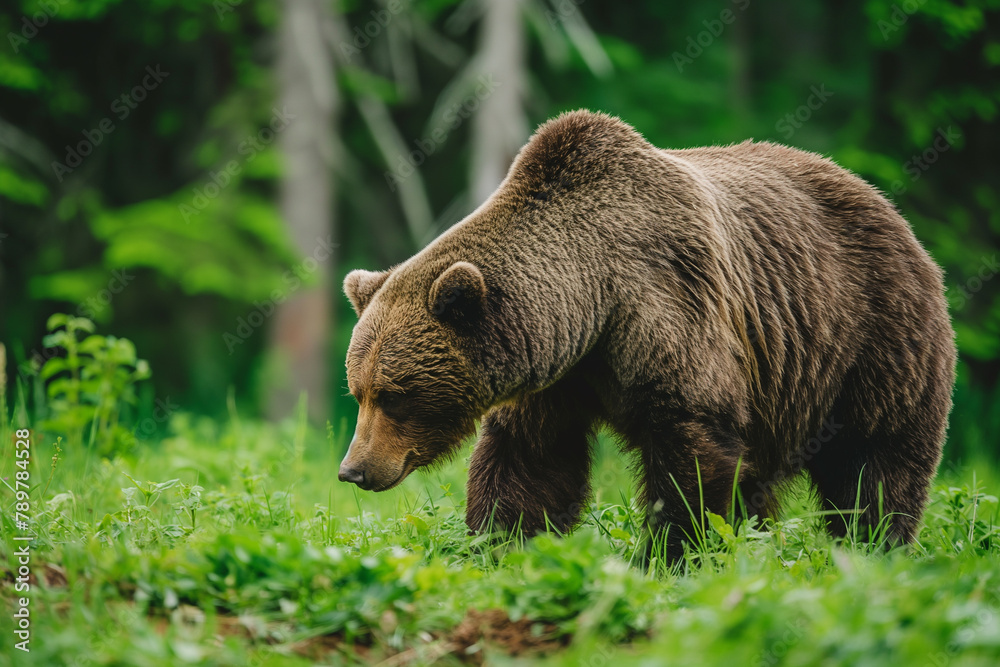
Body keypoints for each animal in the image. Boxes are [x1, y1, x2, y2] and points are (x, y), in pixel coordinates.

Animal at [339, 109, 956, 561]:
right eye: (359, 391)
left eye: (394, 395)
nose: (353, 470)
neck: (592, 304)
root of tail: (889, 207)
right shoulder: (556, 374)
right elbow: (529, 460)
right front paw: (501, 544)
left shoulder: (669, 309)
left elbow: (690, 454)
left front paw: (672, 554)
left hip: (870, 337)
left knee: (876, 465)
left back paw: (875, 546)